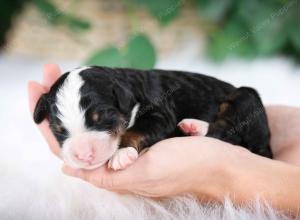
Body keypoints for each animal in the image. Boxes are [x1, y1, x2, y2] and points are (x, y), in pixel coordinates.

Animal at [34, 66, 274, 170]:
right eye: (59, 130)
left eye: (101, 118)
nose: (84, 155)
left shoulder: (160, 113)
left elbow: (135, 130)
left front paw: (121, 154)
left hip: (246, 98)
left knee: (226, 132)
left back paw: (195, 127)